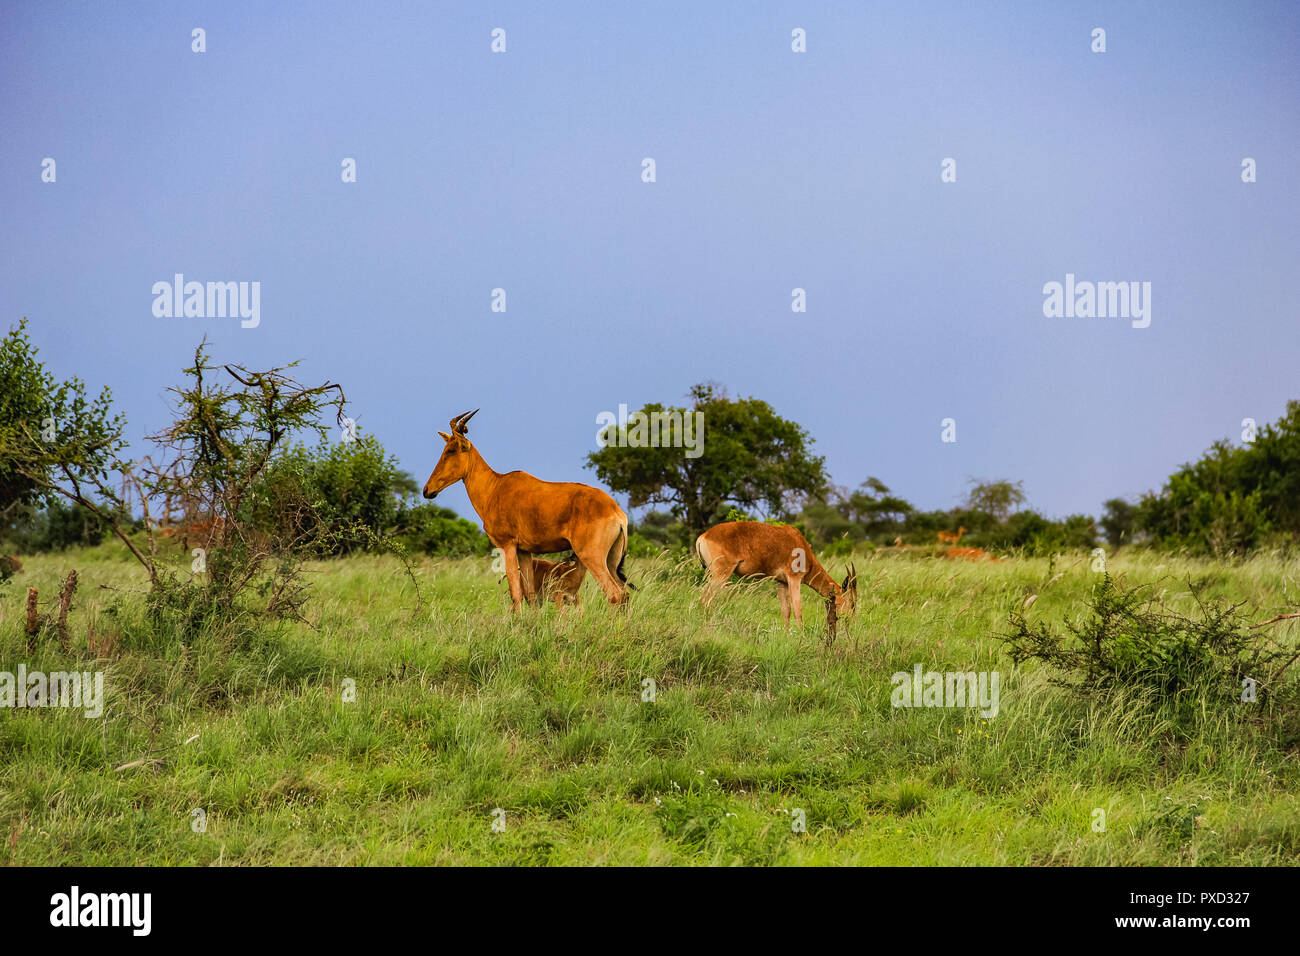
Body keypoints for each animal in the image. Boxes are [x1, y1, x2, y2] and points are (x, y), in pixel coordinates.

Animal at [422, 410, 630, 611]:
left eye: (451, 450)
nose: (427, 490)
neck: (496, 487)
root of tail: (617, 513)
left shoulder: (507, 546)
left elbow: (516, 593)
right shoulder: (524, 551)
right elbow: (529, 595)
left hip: (591, 556)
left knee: (614, 594)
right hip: (611, 559)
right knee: (625, 593)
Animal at [694, 521, 857, 626]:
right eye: (852, 602)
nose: (851, 621)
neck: (798, 541)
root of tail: (704, 536)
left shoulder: (782, 582)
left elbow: (786, 611)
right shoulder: (794, 579)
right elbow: (798, 610)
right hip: (720, 574)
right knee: (704, 599)